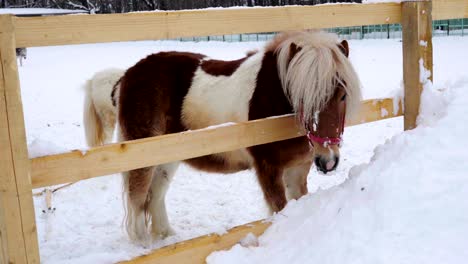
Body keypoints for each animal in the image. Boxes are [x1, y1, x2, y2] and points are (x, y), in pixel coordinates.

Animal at [83, 31, 362, 243]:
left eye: (343, 95)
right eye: (302, 97)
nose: (328, 160)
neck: (275, 100)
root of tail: (126, 77)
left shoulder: (298, 169)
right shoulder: (269, 169)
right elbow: (279, 209)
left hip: (168, 156)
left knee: (156, 195)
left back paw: (167, 236)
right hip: (143, 156)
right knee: (137, 199)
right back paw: (143, 244)